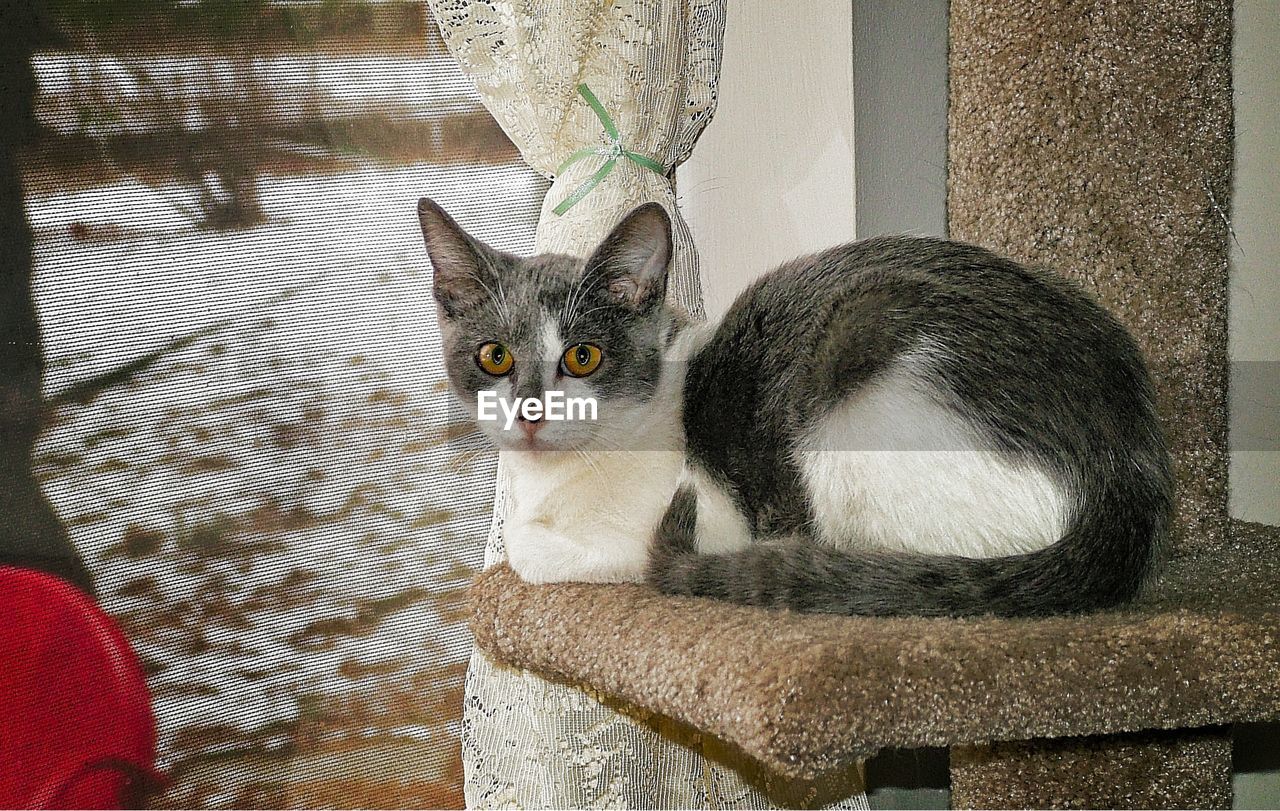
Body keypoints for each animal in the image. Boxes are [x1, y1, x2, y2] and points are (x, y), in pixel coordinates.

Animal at [417, 199, 1172, 616]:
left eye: (582, 357)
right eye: (494, 357)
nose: (531, 414)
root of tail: (1129, 473)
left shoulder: (708, 514)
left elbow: (527, 549)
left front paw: (529, 541)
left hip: (857, 372)